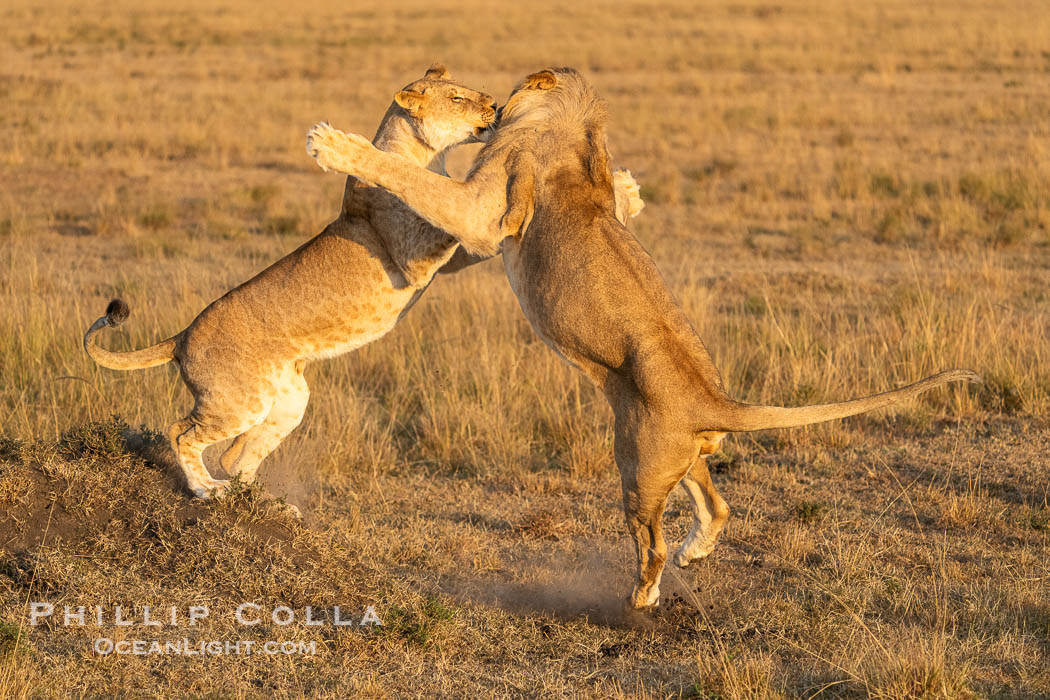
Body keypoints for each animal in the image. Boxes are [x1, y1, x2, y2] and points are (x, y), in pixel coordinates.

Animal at [84, 64, 643, 502]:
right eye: (457, 97)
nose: (496, 105)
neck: (427, 152)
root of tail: (181, 336)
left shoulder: (442, 260)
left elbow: (456, 222)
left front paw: (628, 191)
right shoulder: (414, 251)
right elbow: (440, 204)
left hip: (287, 398)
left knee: (238, 456)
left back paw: (269, 507)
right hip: (236, 400)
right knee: (182, 433)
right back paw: (206, 491)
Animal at [305, 67, 980, 609]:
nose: (492, 106)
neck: (574, 125)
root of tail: (716, 399)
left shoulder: (482, 213)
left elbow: (407, 176)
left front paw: (334, 144)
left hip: (635, 462)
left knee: (650, 543)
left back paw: (642, 597)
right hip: (670, 452)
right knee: (717, 504)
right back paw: (692, 556)